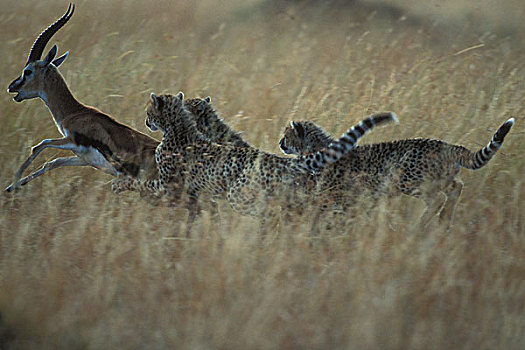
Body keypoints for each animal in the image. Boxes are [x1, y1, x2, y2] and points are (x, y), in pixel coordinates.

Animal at [111, 93, 398, 219]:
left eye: (149, 110)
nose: (145, 120)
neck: (181, 127)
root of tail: (277, 160)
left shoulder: (168, 184)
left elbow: (143, 183)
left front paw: (122, 183)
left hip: (240, 195)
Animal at [278, 118, 512, 227]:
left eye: (286, 135)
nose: (280, 143)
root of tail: (445, 144)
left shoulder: (338, 195)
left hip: (408, 181)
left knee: (437, 199)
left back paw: (421, 224)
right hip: (441, 179)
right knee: (457, 187)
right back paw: (445, 219)